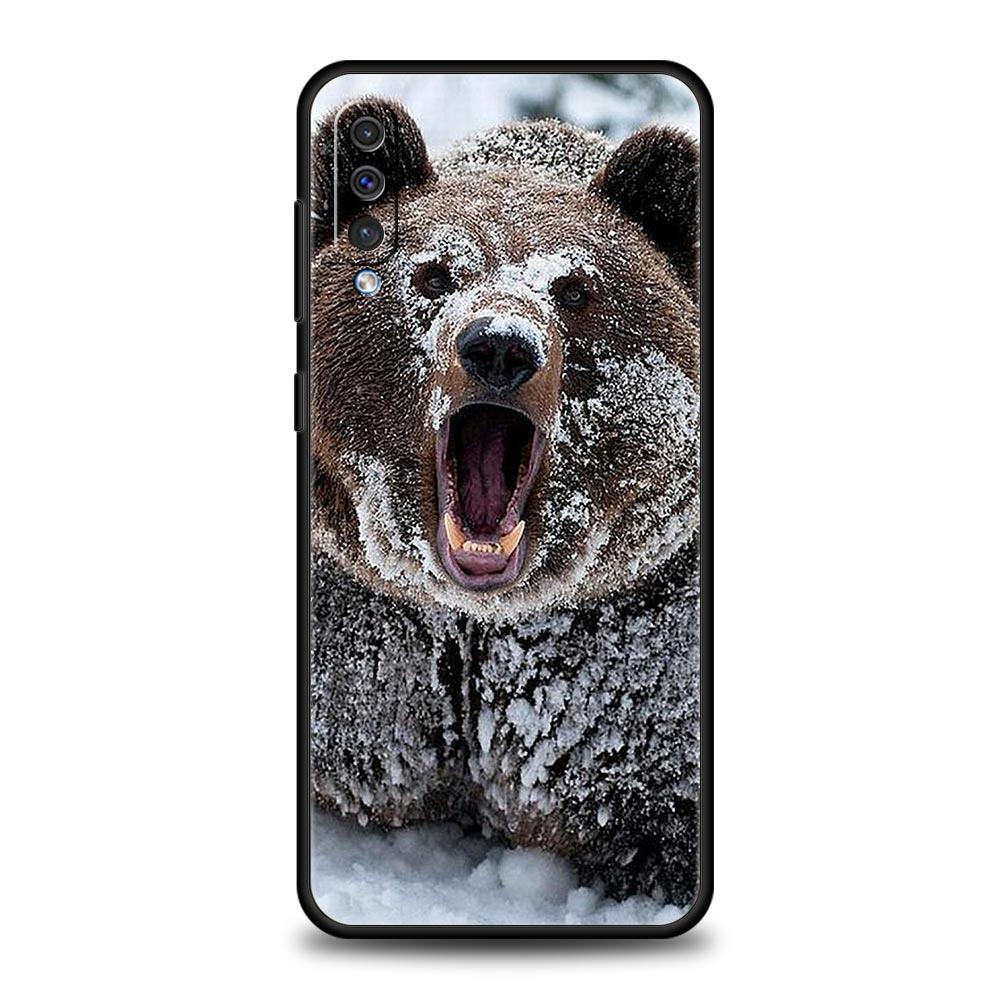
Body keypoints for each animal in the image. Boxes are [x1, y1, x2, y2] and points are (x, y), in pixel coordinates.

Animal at [309, 97, 701, 907]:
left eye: (576, 289)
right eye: (433, 274)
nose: (499, 346)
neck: (480, 623)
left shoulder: (628, 668)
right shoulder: (367, 645)